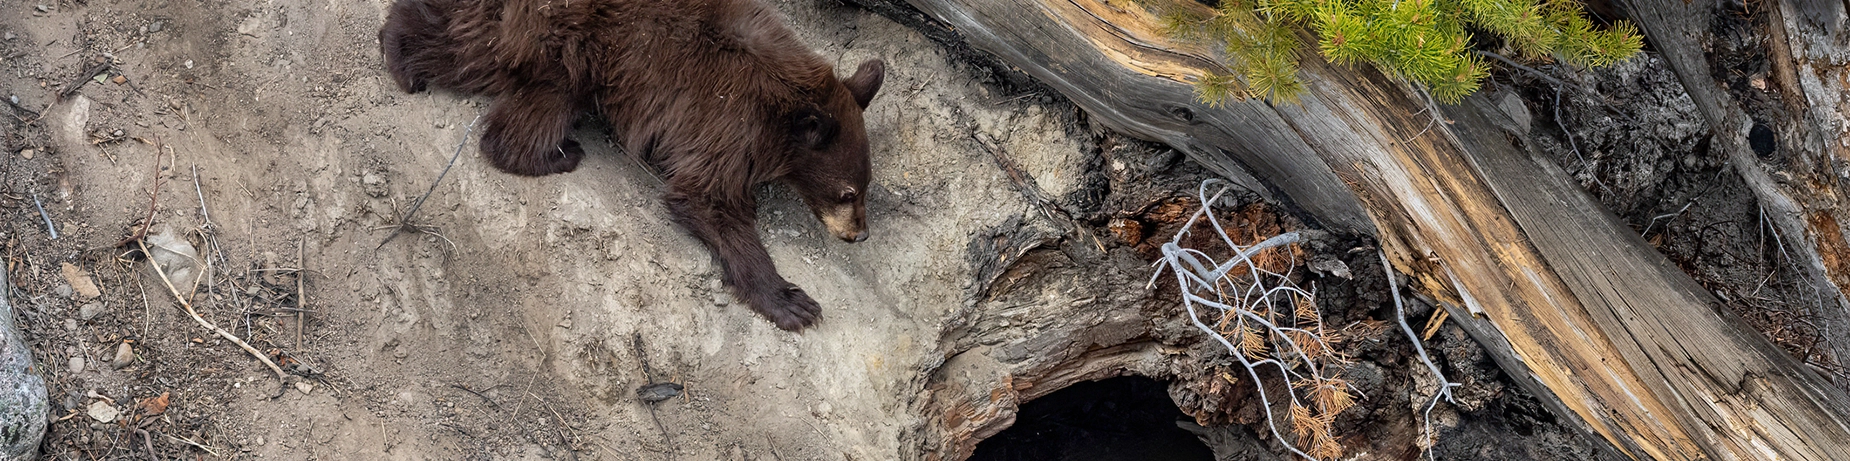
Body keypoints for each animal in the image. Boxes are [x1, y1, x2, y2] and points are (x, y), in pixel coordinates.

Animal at [379, 0, 886, 331]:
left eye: (866, 188)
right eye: (848, 192)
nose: (860, 234)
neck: (782, 110)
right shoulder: (728, 125)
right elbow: (706, 200)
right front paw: (792, 301)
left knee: (466, 44)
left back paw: (400, 50)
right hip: (577, 49)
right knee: (538, 102)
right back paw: (558, 153)